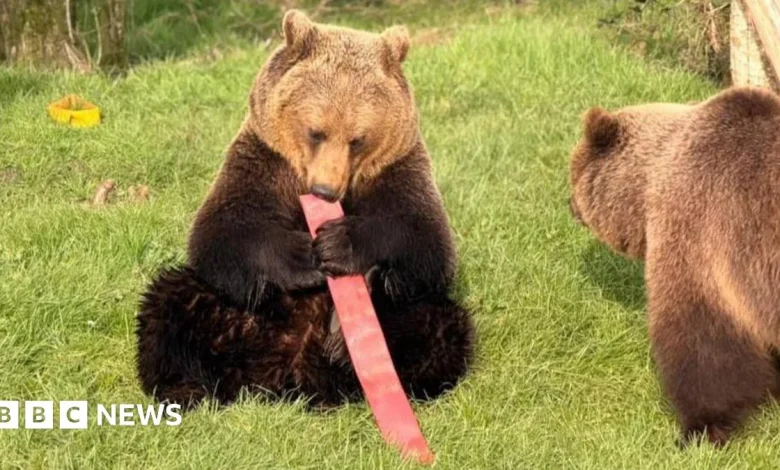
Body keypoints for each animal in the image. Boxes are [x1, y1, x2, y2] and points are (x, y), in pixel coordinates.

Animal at [136, 10, 474, 408]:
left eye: (357, 139)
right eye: (316, 131)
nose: (325, 190)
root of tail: (292, 369)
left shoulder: (395, 169)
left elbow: (426, 240)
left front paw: (337, 243)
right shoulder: (265, 161)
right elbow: (222, 229)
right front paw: (304, 256)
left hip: (415, 311)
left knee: (438, 327)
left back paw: (347, 343)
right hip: (234, 310)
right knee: (171, 306)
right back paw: (186, 389)